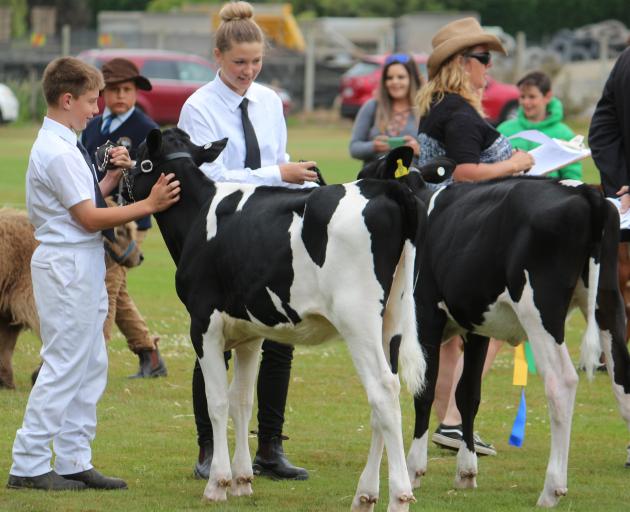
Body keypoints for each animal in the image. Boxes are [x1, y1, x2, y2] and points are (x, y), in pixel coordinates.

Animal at [130, 127, 430, 508]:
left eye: (140, 159)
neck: (199, 217)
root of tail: (387, 189)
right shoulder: (249, 332)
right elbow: (242, 400)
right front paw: (243, 480)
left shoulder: (203, 325)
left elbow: (217, 401)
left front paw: (218, 483)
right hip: (391, 319)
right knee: (384, 396)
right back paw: (365, 494)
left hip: (357, 319)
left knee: (383, 389)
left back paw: (399, 497)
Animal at [360, 148, 630, 508]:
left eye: (372, 171)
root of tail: (586, 193)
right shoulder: (475, 326)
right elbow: (467, 394)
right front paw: (466, 471)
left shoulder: (426, 316)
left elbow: (425, 390)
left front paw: (416, 468)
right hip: (609, 303)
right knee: (622, 378)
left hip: (540, 310)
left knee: (562, 382)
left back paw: (552, 488)